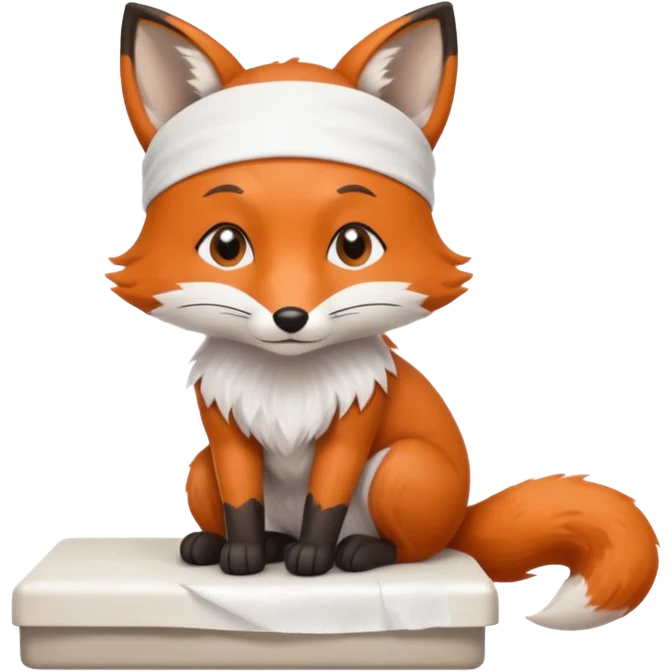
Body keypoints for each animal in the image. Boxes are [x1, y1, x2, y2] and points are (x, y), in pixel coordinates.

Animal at [108, 0, 660, 632]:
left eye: (354, 245)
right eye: (227, 246)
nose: (290, 316)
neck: (286, 383)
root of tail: (460, 523)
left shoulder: (357, 417)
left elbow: (325, 498)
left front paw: (314, 558)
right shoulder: (224, 428)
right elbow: (240, 501)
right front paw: (243, 553)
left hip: (404, 469)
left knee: (412, 549)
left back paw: (359, 553)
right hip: (199, 471)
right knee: (244, 511)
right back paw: (240, 544)